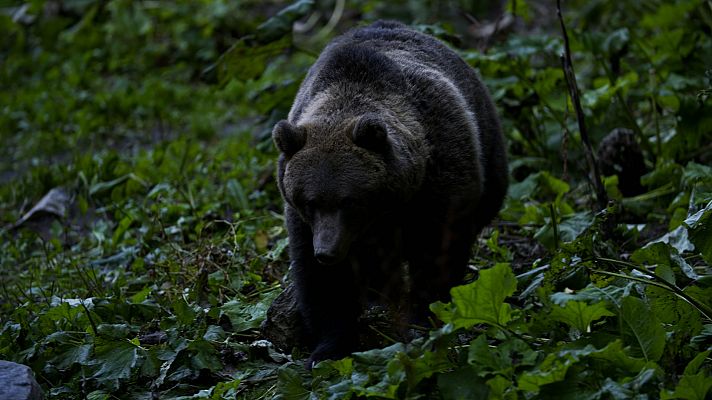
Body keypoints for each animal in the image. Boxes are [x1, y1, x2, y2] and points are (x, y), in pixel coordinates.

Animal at [272, 20, 508, 367]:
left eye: (349, 200)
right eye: (310, 201)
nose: (327, 251)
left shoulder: (439, 182)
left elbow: (437, 254)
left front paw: (423, 321)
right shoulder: (305, 225)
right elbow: (323, 283)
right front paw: (329, 348)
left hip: (489, 151)